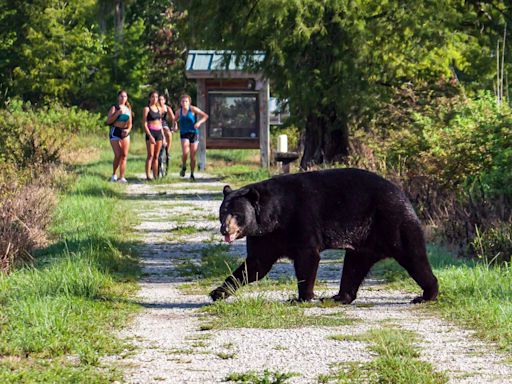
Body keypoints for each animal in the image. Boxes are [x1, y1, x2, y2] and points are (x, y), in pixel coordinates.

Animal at [210, 170, 438, 304]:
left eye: (237, 214)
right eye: (223, 212)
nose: (225, 230)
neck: (273, 215)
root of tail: (403, 194)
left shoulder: (300, 219)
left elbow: (307, 257)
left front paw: (302, 297)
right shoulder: (265, 236)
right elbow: (256, 265)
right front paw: (218, 292)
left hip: (392, 221)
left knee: (413, 256)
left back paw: (427, 294)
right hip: (364, 239)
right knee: (354, 266)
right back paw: (339, 296)